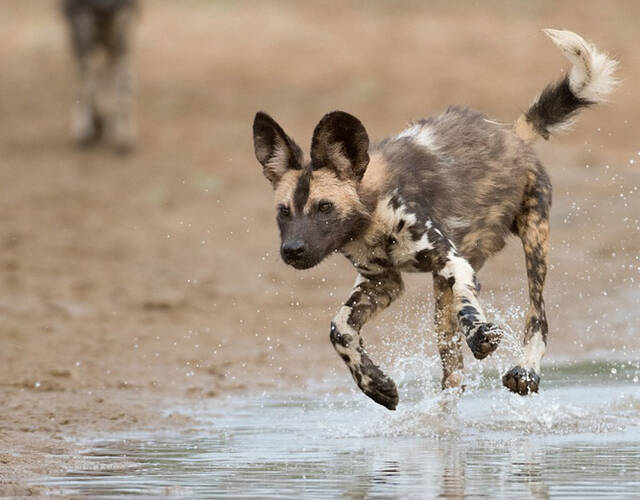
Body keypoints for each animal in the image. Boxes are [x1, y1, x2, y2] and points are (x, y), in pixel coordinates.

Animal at [62, 0, 139, 152]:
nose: (104, 9)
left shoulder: (121, 29)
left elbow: (122, 84)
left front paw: (122, 132)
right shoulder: (81, 29)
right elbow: (87, 84)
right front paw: (86, 126)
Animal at [252, 30, 616, 410]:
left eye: (324, 208)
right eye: (283, 212)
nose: (293, 250)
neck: (371, 221)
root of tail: (511, 135)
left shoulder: (450, 261)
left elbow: (470, 307)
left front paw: (480, 334)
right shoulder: (383, 281)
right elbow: (339, 329)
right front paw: (375, 384)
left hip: (533, 243)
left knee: (537, 315)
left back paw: (525, 372)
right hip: (442, 302)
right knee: (452, 372)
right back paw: (442, 415)